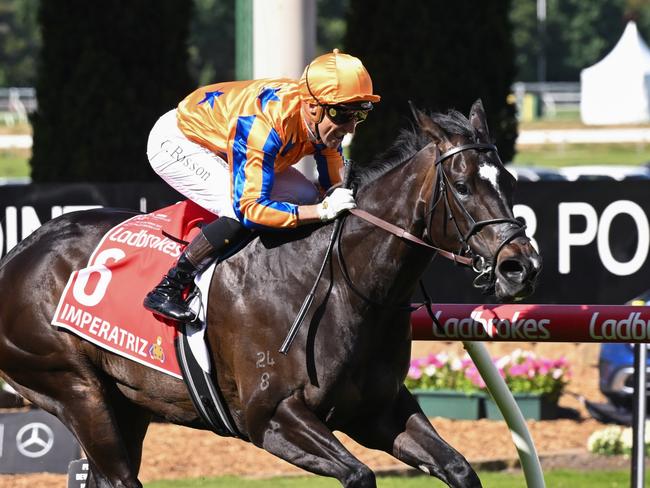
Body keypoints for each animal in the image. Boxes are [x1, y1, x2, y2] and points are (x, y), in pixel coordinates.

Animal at [0, 100, 540, 488]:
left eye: (510, 181)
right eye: (463, 186)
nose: (521, 266)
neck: (342, 284)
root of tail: (19, 252)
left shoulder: (379, 410)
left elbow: (459, 468)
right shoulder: (271, 418)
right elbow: (359, 474)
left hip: (129, 404)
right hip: (74, 389)